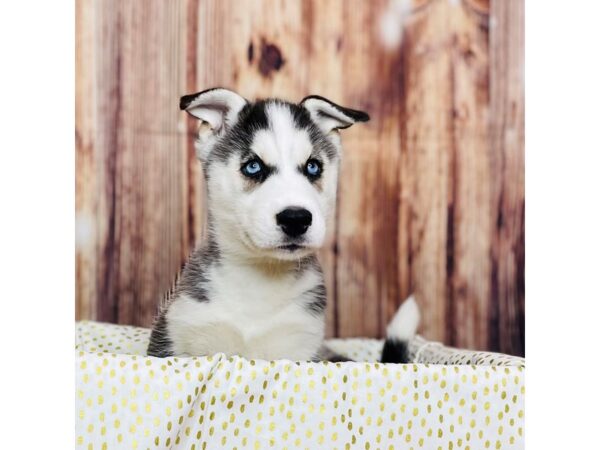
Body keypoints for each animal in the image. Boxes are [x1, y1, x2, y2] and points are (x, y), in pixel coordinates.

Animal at [146, 89, 418, 362]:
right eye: (253, 166)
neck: (262, 277)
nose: (295, 218)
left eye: (313, 166)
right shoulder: (176, 336)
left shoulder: (301, 347)